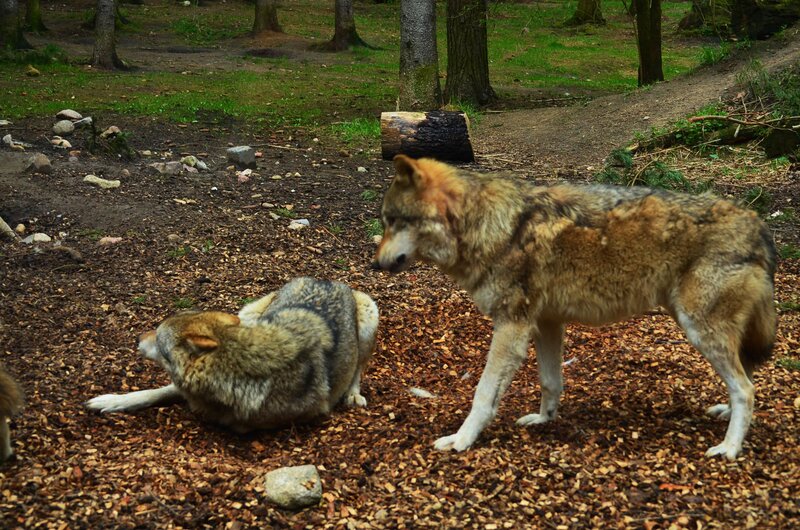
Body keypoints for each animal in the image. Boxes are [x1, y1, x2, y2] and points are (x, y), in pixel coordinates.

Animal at [87, 277, 379, 432]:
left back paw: (353, 395)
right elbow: (153, 392)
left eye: (157, 339)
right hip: (247, 313)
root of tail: (327, 279)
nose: (137, 338)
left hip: (370, 315)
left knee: (358, 369)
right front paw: (111, 401)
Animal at [375, 155, 776, 460]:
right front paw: (544, 420)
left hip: (699, 330)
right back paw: (729, 416)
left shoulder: (511, 326)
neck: (488, 224)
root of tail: (757, 224)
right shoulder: (546, 323)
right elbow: (550, 381)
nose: (375, 264)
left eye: (393, 221)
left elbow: (483, 394)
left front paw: (461, 440)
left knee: (746, 389)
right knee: (747, 378)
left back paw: (729, 448)